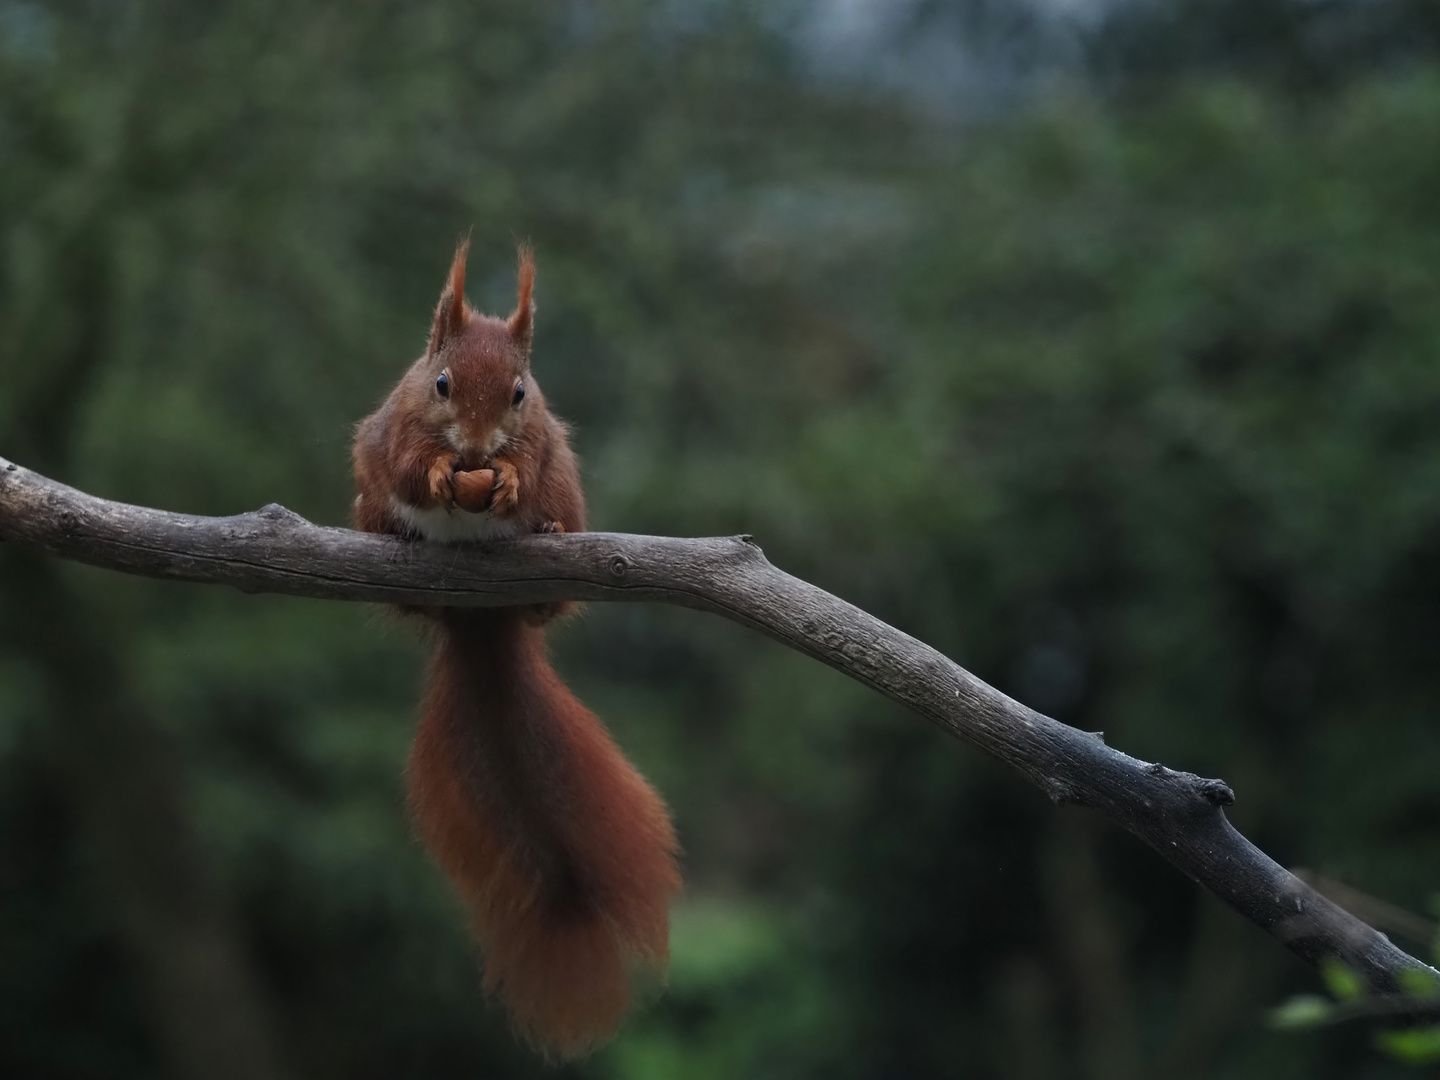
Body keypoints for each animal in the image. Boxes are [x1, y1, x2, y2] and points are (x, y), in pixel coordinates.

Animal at [351, 240, 682, 1059]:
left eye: (521, 393)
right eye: (441, 383)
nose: (475, 449)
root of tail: (480, 620)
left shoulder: (539, 443)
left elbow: (523, 468)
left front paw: (499, 483)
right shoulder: (394, 429)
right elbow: (409, 464)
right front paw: (443, 473)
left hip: (565, 493)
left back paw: (546, 537)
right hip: (366, 504)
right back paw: (398, 538)